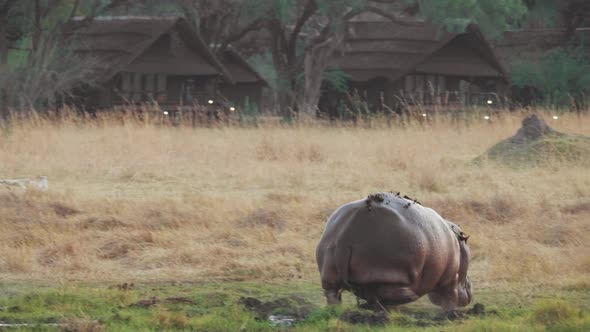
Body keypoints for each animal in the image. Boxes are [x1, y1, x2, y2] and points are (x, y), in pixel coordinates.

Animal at [316, 192, 474, 312]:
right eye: (466, 243)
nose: (470, 291)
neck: (457, 239)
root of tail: (346, 234)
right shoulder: (452, 278)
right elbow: (450, 298)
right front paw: (450, 313)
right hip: (389, 270)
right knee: (389, 292)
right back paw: (409, 297)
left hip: (330, 268)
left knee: (332, 293)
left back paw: (338, 310)